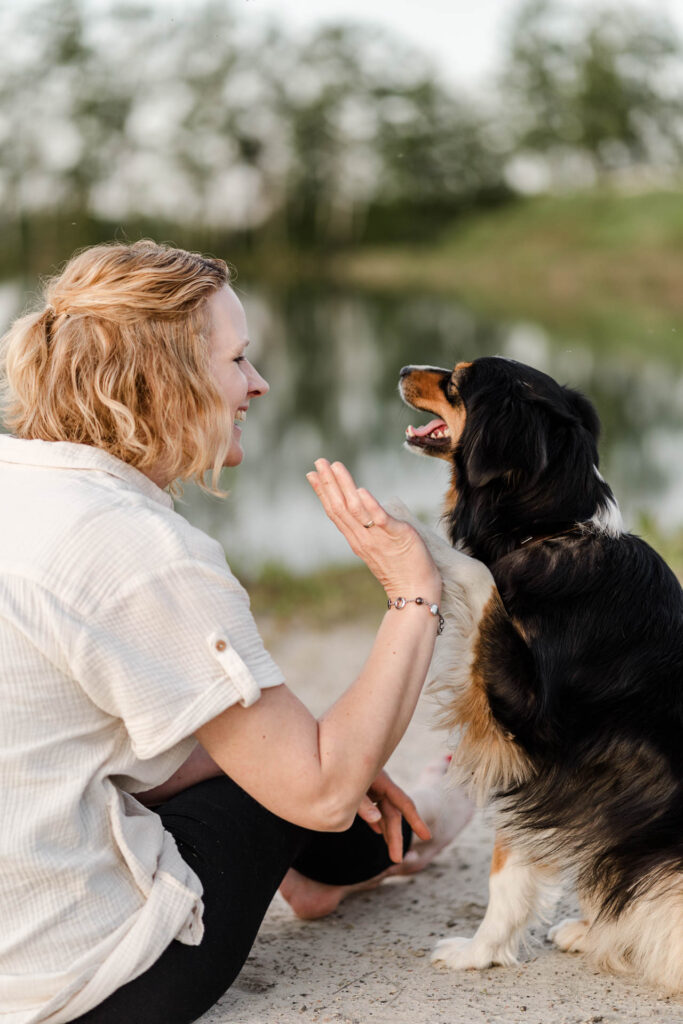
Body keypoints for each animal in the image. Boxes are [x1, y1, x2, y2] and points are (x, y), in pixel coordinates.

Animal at [397, 358, 679, 991]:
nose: (402, 369)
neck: (551, 530)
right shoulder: (538, 757)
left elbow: (479, 576)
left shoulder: (534, 720)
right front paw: (480, 953)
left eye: (456, 381)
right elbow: (509, 864)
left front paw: (396, 519)